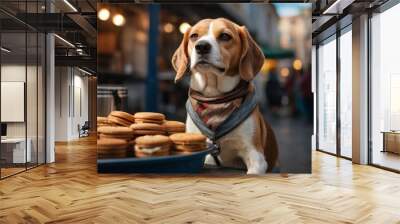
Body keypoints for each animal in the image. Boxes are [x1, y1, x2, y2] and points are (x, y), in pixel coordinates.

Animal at [171, 18, 278, 175]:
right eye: (194, 36)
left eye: (225, 36)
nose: (201, 46)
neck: (214, 98)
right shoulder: (205, 153)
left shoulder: (255, 157)